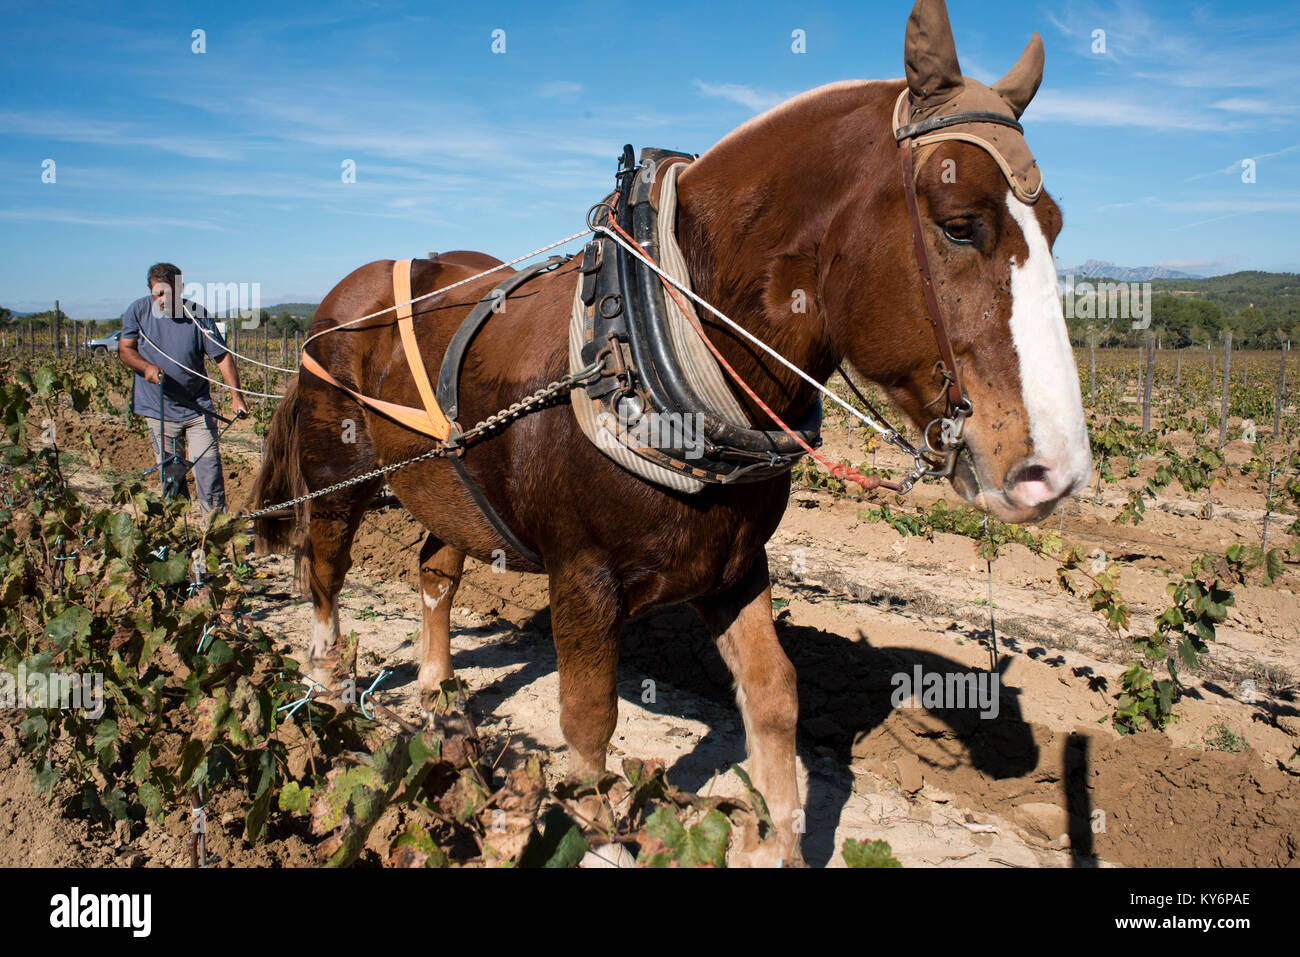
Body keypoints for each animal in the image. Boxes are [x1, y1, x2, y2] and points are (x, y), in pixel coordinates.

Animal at [248, 0, 1092, 868]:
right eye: (960, 226)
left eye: (1055, 226)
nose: (1056, 472)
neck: (647, 343)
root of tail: (334, 307)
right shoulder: (581, 579)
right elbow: (589, 720)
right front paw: (594, 830)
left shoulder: (733, 562)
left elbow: (775, 693)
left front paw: (779, 838)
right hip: (335, 481)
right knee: (325, 575)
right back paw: (329, 697)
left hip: (448, 487)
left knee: (433, 573)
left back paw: (439, 698)